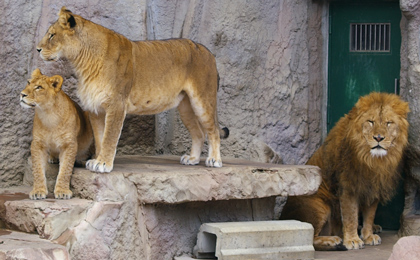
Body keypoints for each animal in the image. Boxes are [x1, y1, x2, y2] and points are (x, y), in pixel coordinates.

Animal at [36, 6, 228, 173]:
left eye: (52, 35)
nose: (37, 49)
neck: (83, 62)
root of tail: (209, 52)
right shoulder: (95, 108)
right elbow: (99, 138)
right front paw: (96, 159)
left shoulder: (116, 104)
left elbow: (109, 137)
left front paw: (103, 164)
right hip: (186, 106)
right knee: (198, 133)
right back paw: (192, 159)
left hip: (203, 100)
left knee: (213, 130)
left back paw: (214, 160)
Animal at [280, 92, 408, 251]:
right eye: (371, 122)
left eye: (388, 123)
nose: (378, 138)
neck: (372, 160)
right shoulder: (348, 186)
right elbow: (350, 215)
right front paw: (352, 240)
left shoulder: (374, 187)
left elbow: (370, 215)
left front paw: (368, 235)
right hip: (319, 206)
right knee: (308, 236)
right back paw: (333, 240)